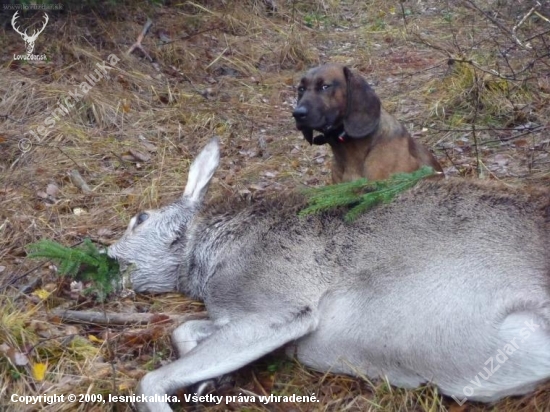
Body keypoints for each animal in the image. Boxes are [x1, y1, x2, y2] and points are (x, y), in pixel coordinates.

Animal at [108, 137, 550, 410]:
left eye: (139, 218)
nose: (105, 256)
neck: (209, 252)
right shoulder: (238, 315)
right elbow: (183, 329)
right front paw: (209, 384)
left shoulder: (277, 304)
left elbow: (149, 381)